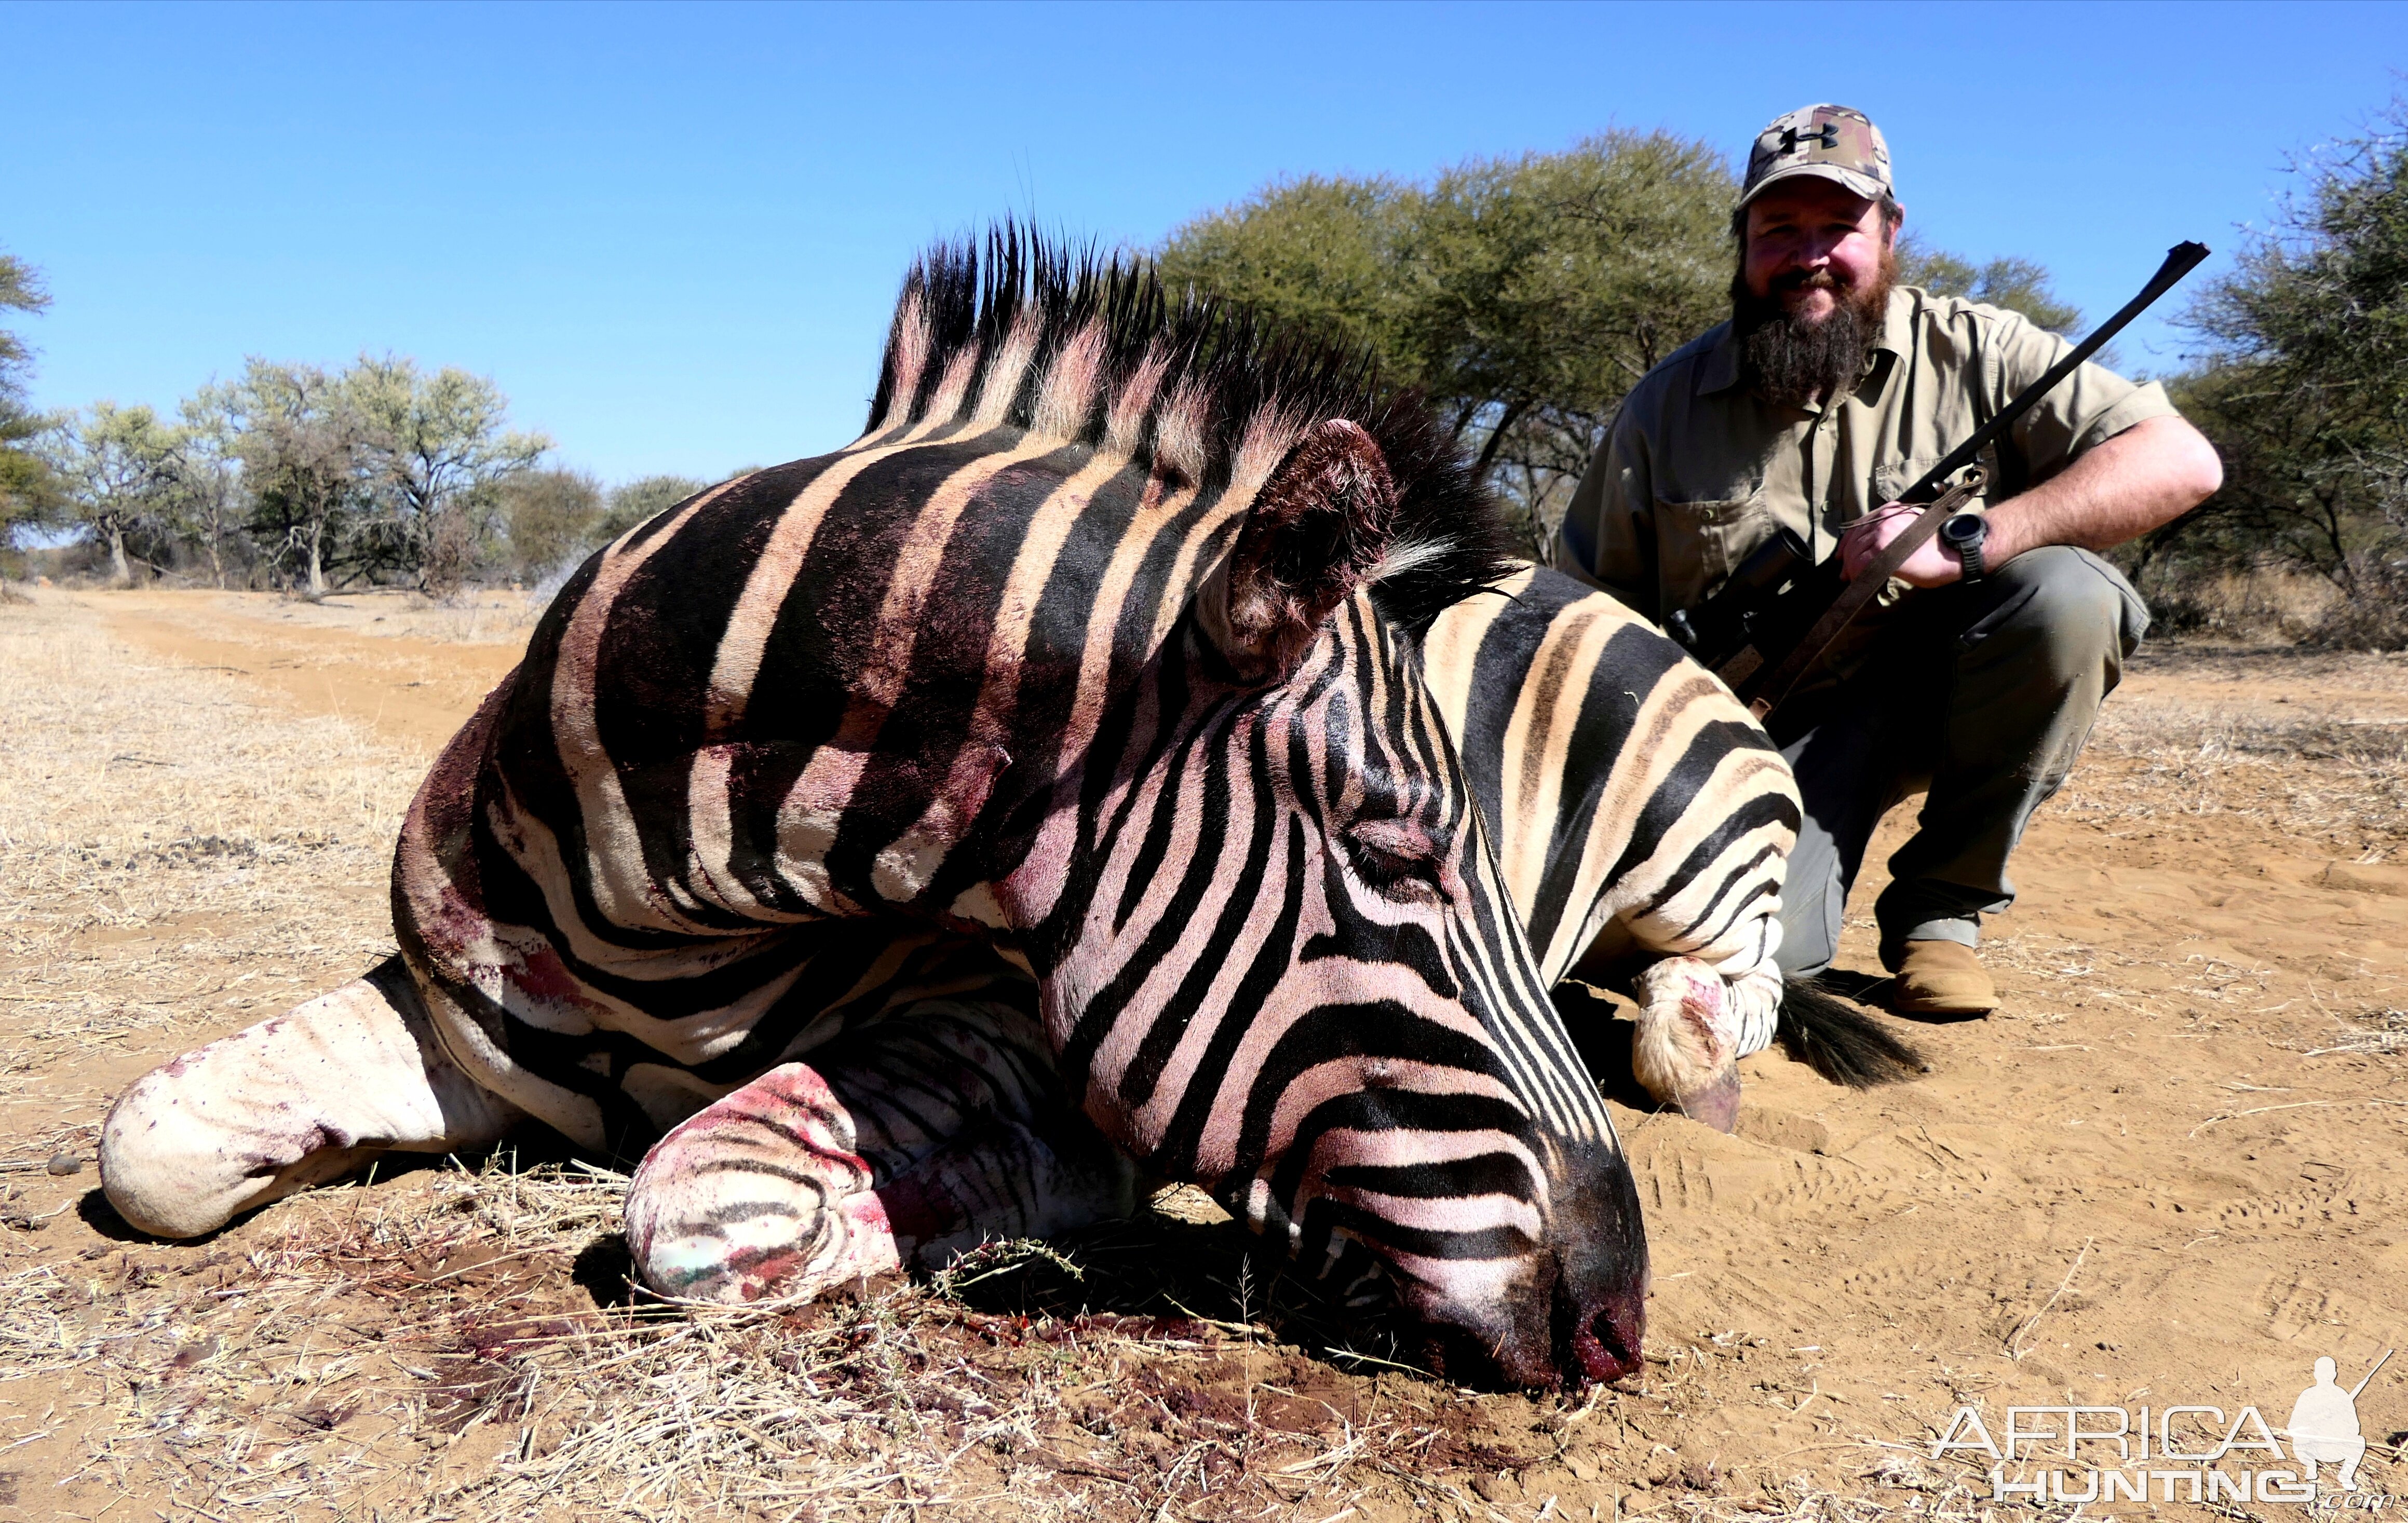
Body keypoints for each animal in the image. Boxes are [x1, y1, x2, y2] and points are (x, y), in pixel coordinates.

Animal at [99, 228, 1637, 1385]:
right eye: (1395, 853)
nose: (1618, 1323)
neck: (659, 925)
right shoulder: (446, 999)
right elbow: (151, 1139)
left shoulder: (1003, 1022)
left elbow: (694, 1205)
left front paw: (1043, 1192)